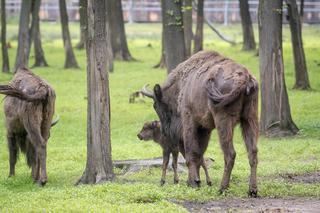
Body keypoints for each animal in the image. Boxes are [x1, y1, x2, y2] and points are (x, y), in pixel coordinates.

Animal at [142, 50, 260, 197]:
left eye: (155, 105)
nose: (165, 131)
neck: (181, 85)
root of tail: (245, 77)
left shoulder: (189, 121)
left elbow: (191, 153)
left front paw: (194, 182)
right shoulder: (205, 128)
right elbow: (199, 153)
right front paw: (196, 181)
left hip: (224, 121)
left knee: (230, 154)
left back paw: (222, 188)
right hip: (249, 119)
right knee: (253, 152)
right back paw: (252, 190)